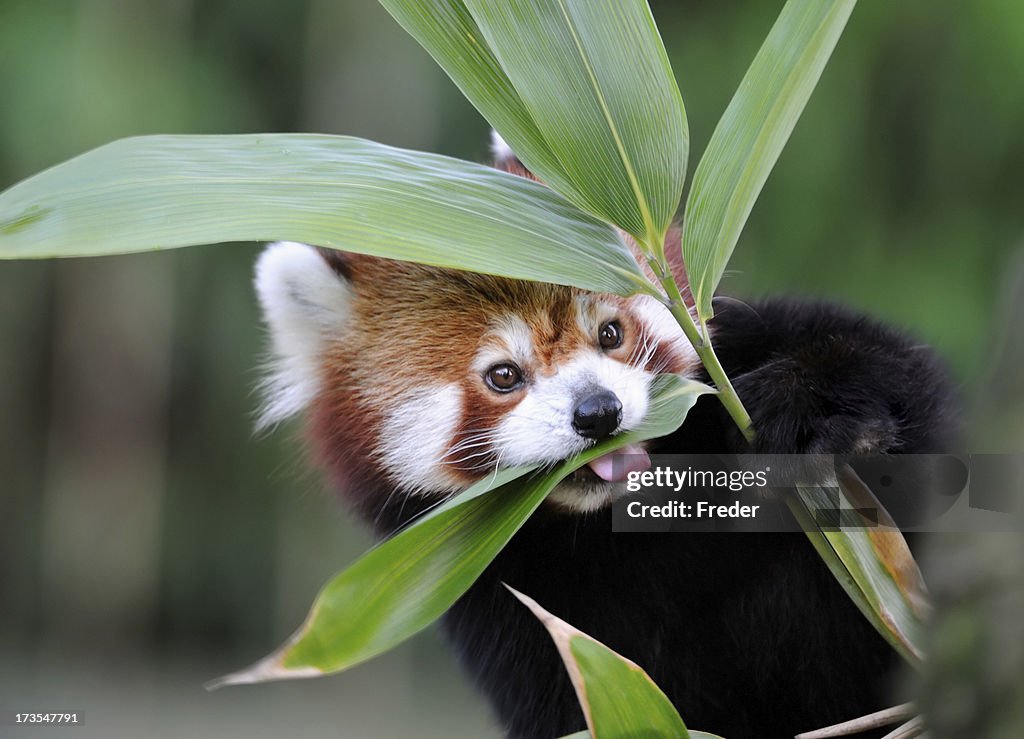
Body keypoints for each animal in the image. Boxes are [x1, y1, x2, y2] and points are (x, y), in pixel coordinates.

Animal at [251, 134, 954, 736]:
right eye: (503, 375)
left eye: (610, 332)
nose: (598, 412)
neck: (624, 525)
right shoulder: (502, 615)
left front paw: (817, 410)